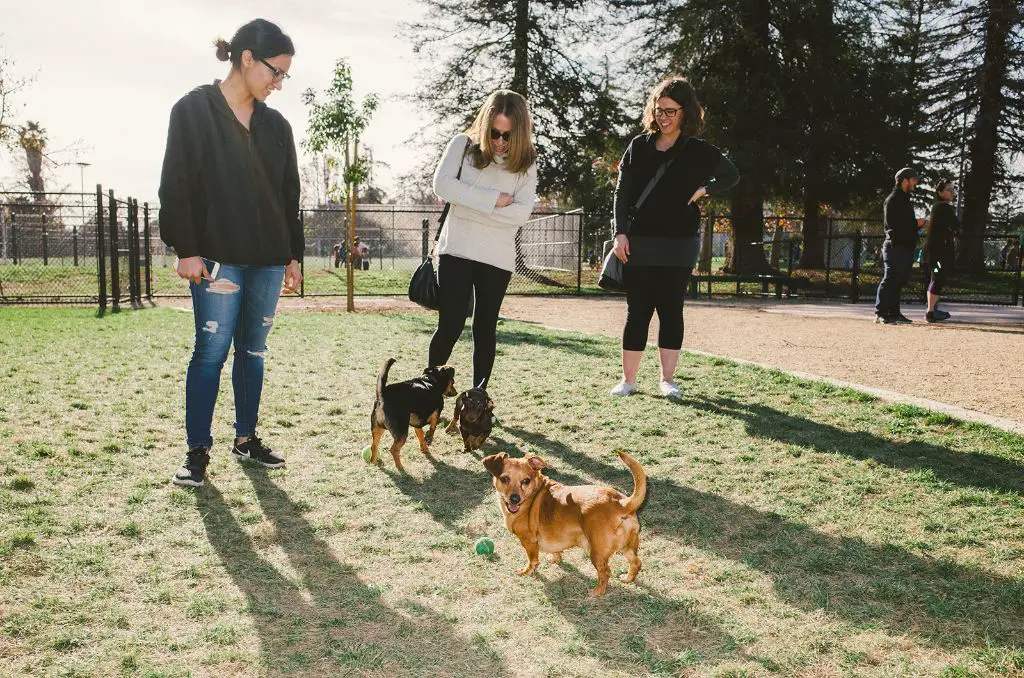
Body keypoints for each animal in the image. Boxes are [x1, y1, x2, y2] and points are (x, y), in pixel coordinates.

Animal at [481, 454, 643, 598]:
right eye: (504, 479)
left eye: (526, 481)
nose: (514, 499)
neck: (532, 495)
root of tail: (621, 503)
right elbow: (557, 551)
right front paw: (555, 559)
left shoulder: (529, 542)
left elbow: (532, 561)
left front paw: (526, 571)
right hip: (628, 548)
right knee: (636, 562)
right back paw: (627, 578)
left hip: (597, 553)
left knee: (606, 572)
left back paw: (597, 592)